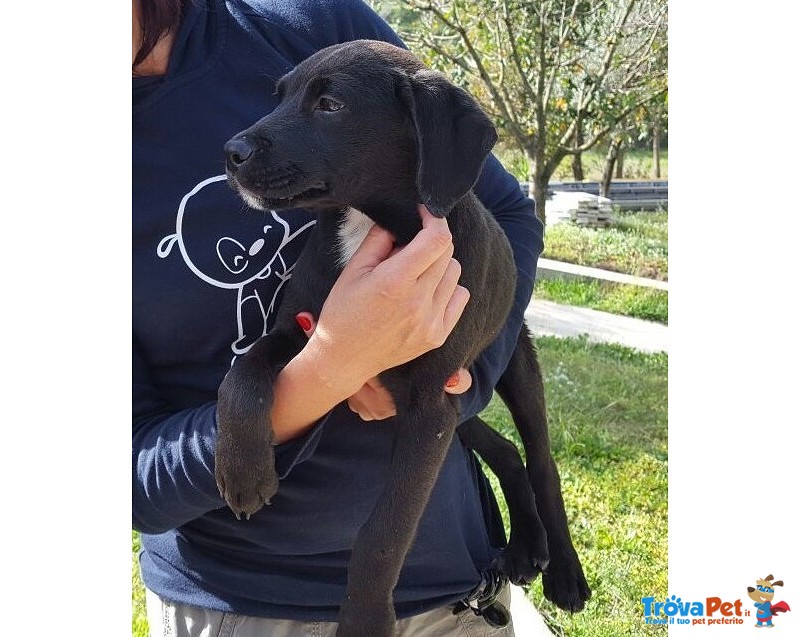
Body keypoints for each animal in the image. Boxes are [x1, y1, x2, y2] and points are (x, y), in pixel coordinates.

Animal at [216, 41, 592, 636]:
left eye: (329, 105)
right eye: (278, 97)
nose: (232, 151)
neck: (367, 225)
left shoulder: (429, 408)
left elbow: (384, 533)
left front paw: (366, 618)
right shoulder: (304, 329)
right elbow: (243, 371)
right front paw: (243, 469)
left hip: (510, 369)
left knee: (540, 457)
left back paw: (562, 570)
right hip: (456, 406)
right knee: (505, 449)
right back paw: (524, 548)